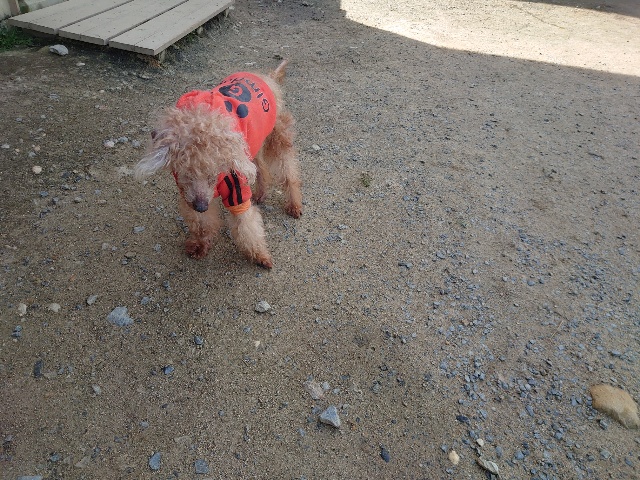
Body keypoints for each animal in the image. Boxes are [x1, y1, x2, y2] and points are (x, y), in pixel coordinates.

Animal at [135, 60, 302, 268]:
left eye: (214, 174)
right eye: (185, 173)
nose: (201, 206)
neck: (201, 117)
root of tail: (267, 77)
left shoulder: (236, 183)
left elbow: (247, 224)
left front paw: (260, 255)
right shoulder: (189, 194)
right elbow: (201, 222)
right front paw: (200, 245)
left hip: (277, 136)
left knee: (288, 171)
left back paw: (294, 204)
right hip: (251, 144)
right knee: (260, 167)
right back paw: (261, 194)